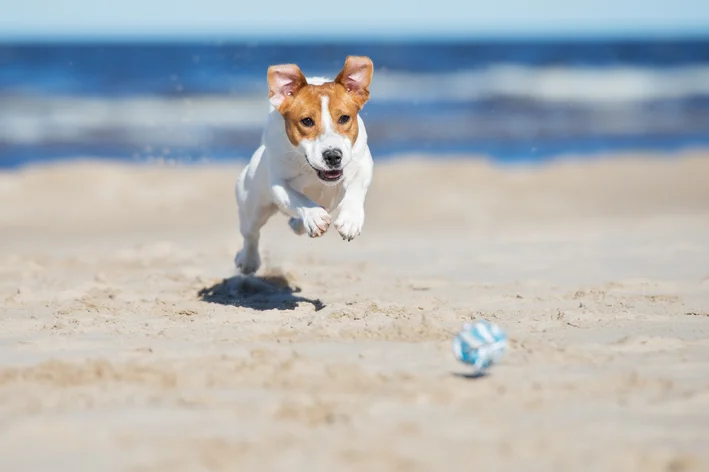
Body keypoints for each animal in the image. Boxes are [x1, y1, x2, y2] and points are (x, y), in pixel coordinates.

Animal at [234, 55, 376, 274]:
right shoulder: (278, 184)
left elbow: (356, 189)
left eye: (344, 118)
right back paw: (248, 260)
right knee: (251, 234)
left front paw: (351, 219)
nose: (333, 156)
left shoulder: (363, 163)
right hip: (253, 206)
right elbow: (297, 198)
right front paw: (314, 215)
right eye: (307, 121)